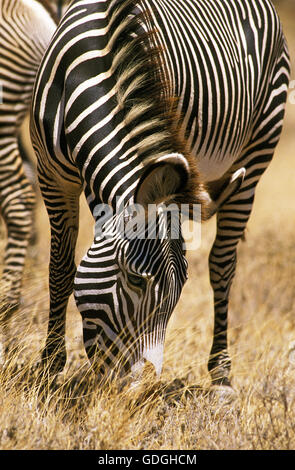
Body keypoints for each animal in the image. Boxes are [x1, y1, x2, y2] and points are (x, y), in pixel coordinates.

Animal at [31, 1, 290, 388]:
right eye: (136, 279)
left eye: (181, 287)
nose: (144, 385)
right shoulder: (52, 177)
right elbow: (60, 267)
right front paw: (49, 366)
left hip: (256, 153)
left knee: (223, 264)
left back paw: (222, 374)